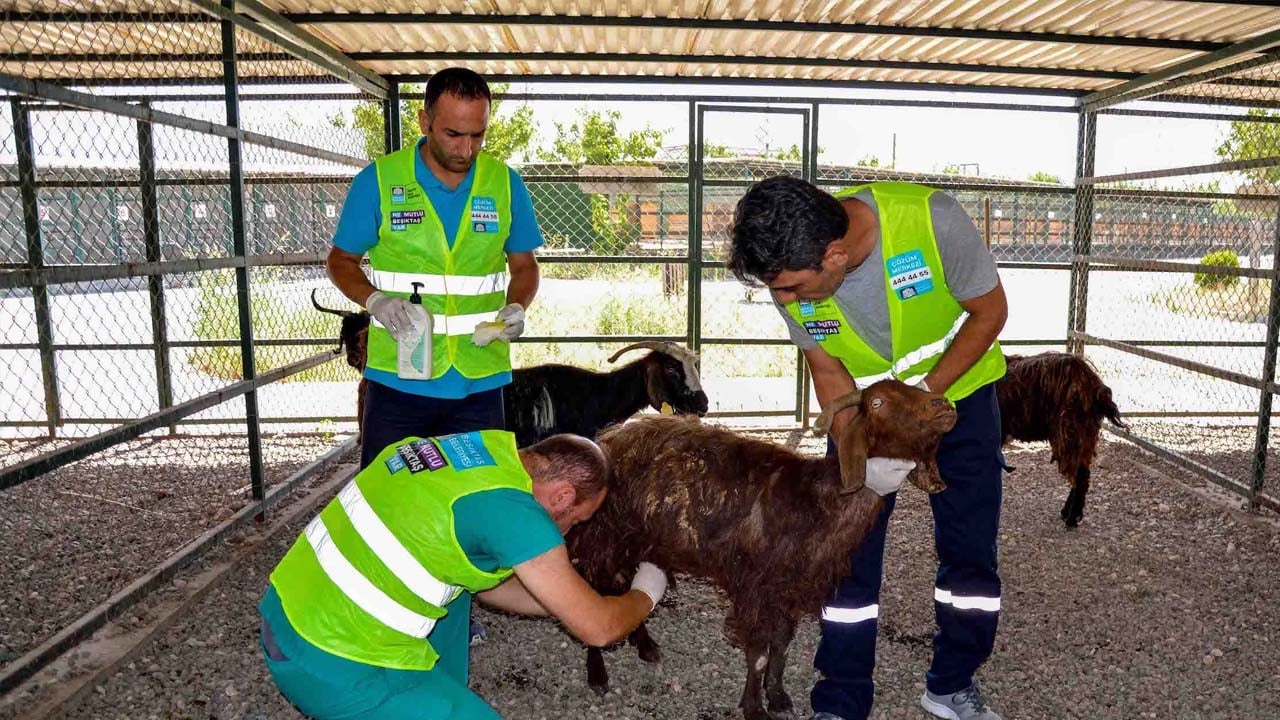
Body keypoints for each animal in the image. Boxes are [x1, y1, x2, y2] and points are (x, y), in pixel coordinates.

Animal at [573, 379, 962, 712]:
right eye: (878, 403)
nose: (943, 405)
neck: (817, 500)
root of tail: (608, 438)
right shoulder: (756, 587)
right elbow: (759, 652)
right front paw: (754, 707)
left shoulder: (787, 589)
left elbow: (782, 647)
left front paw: (777, 697)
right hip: (601, 537)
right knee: (595, 595)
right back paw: (598, 673)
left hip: (633, 541)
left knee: (624, 587)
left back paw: (645, 646)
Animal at [993, 351, 1126, 527]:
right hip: (1086, 435)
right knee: (1082, 474)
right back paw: (1068, 513)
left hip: (1071, 432)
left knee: (1080, 476)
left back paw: (1071, 518)